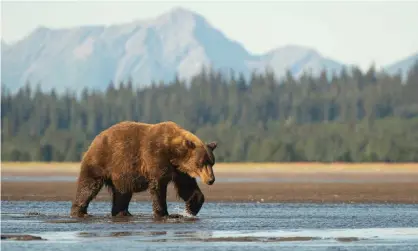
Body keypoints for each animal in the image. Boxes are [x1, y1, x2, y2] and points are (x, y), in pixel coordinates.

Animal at [70, 121, 217, 220]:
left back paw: (122, 213)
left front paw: (190, 209)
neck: (173, 153)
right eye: (201, 163)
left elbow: (187, 187)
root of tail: (97, 138)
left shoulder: (179, 170)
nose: (211, 180)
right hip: (102, 160)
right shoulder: (156, 157)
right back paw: (79, 212)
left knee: (122, 193)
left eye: (212, 162)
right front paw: (164, 213)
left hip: (122, 174)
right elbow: (158, 186)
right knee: (88, 186)